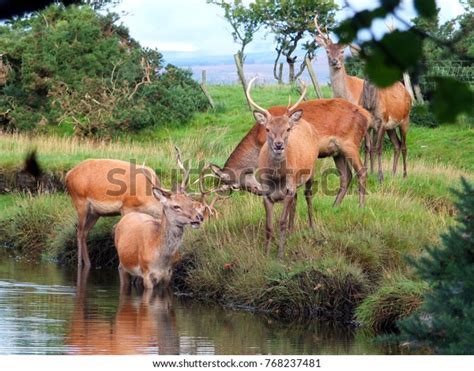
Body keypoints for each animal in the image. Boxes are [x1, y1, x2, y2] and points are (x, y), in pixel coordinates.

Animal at [314, 16, 412, 183]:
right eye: (327, 51)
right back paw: (393, 173)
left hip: (404, 119)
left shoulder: (375, 122)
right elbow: (367, 147)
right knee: (397, 144)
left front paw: (378, 176)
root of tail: (406, 91)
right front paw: (366, 171)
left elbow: (374, 147)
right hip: (391, 126)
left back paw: (404, 175)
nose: (334, 61)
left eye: (342, 51)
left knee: (404, 145)